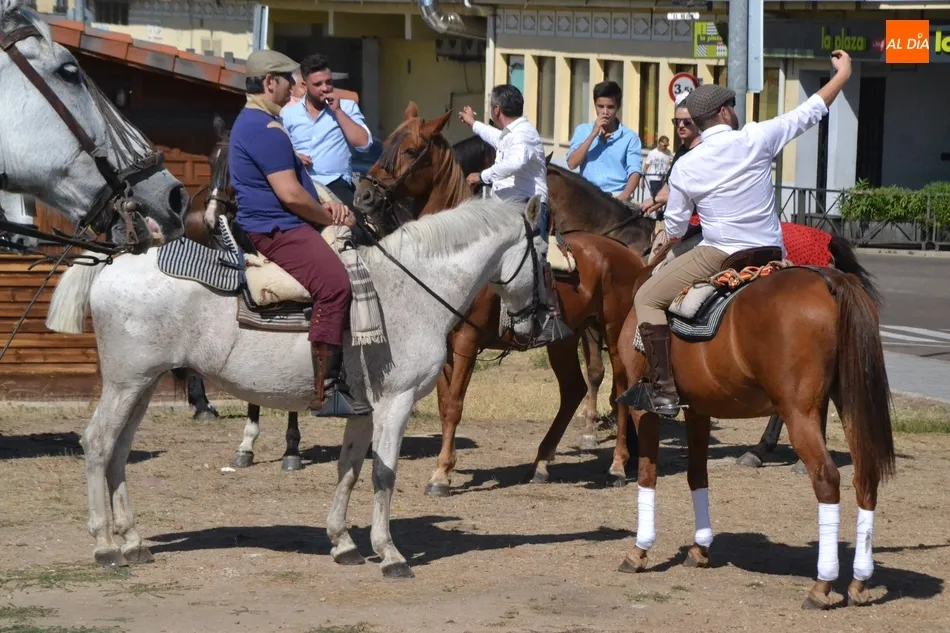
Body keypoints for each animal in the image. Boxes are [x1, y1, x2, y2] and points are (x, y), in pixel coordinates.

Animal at [44, 194, 548, 578]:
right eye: (543, 255)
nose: (541, 322)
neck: (409, 291)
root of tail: (114, 261)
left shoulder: (364, 410)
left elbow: (350, 469)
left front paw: (343, 542)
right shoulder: (395, 403)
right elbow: (384, 475)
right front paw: (390, 554)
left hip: (142, 385)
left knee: (119, 450)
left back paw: (133, 541)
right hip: (126, 383)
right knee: (98, 443)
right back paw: (106, 546)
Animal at [352, 102, 650, 491]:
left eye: (411, 151)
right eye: (386, 143)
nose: (363, 196)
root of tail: (629, 254)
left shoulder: (466, 341)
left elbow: (454, 405)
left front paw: (441, 474)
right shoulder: (446, 343)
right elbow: (444, 402)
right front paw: (446, 467)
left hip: (613, 333)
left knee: (621, 390)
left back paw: (616, 464)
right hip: (564, 339)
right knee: (573, 389)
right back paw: (541, 462)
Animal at [612, 243, 894, 609]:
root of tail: (832, 281)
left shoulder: (642, 410)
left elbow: (648, 474)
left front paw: (640, 550)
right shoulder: (699, 411)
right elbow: (697, 475)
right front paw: (700, 547)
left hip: (799, 413)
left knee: (827, 479)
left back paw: (822, 585)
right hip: (849, 405)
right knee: (865, 477)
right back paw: (860, 581)